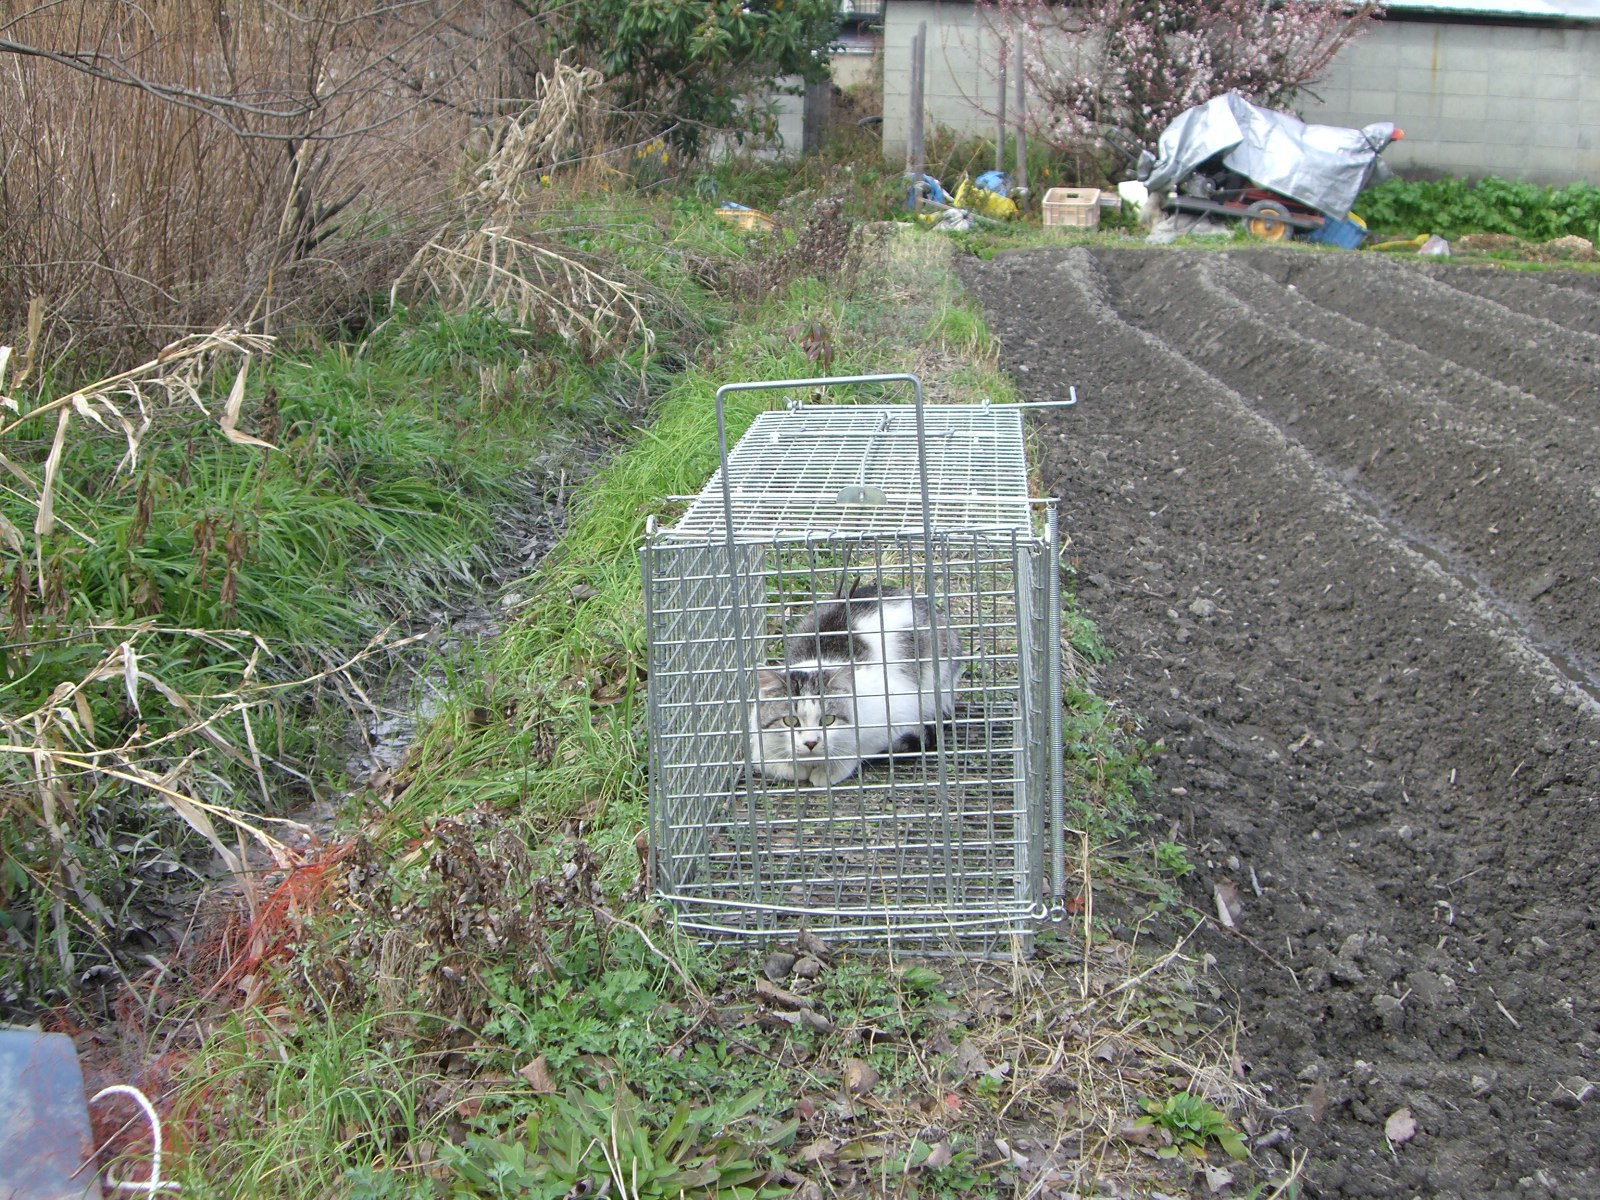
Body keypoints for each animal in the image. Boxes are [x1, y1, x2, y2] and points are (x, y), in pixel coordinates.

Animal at [742, 582, 953, 790]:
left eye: (828, 720)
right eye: (790, 721)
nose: (811, 743)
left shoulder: (898, 714)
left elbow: (859, 749)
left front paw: (830, 770)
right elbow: (767, 760)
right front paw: (792, 767)